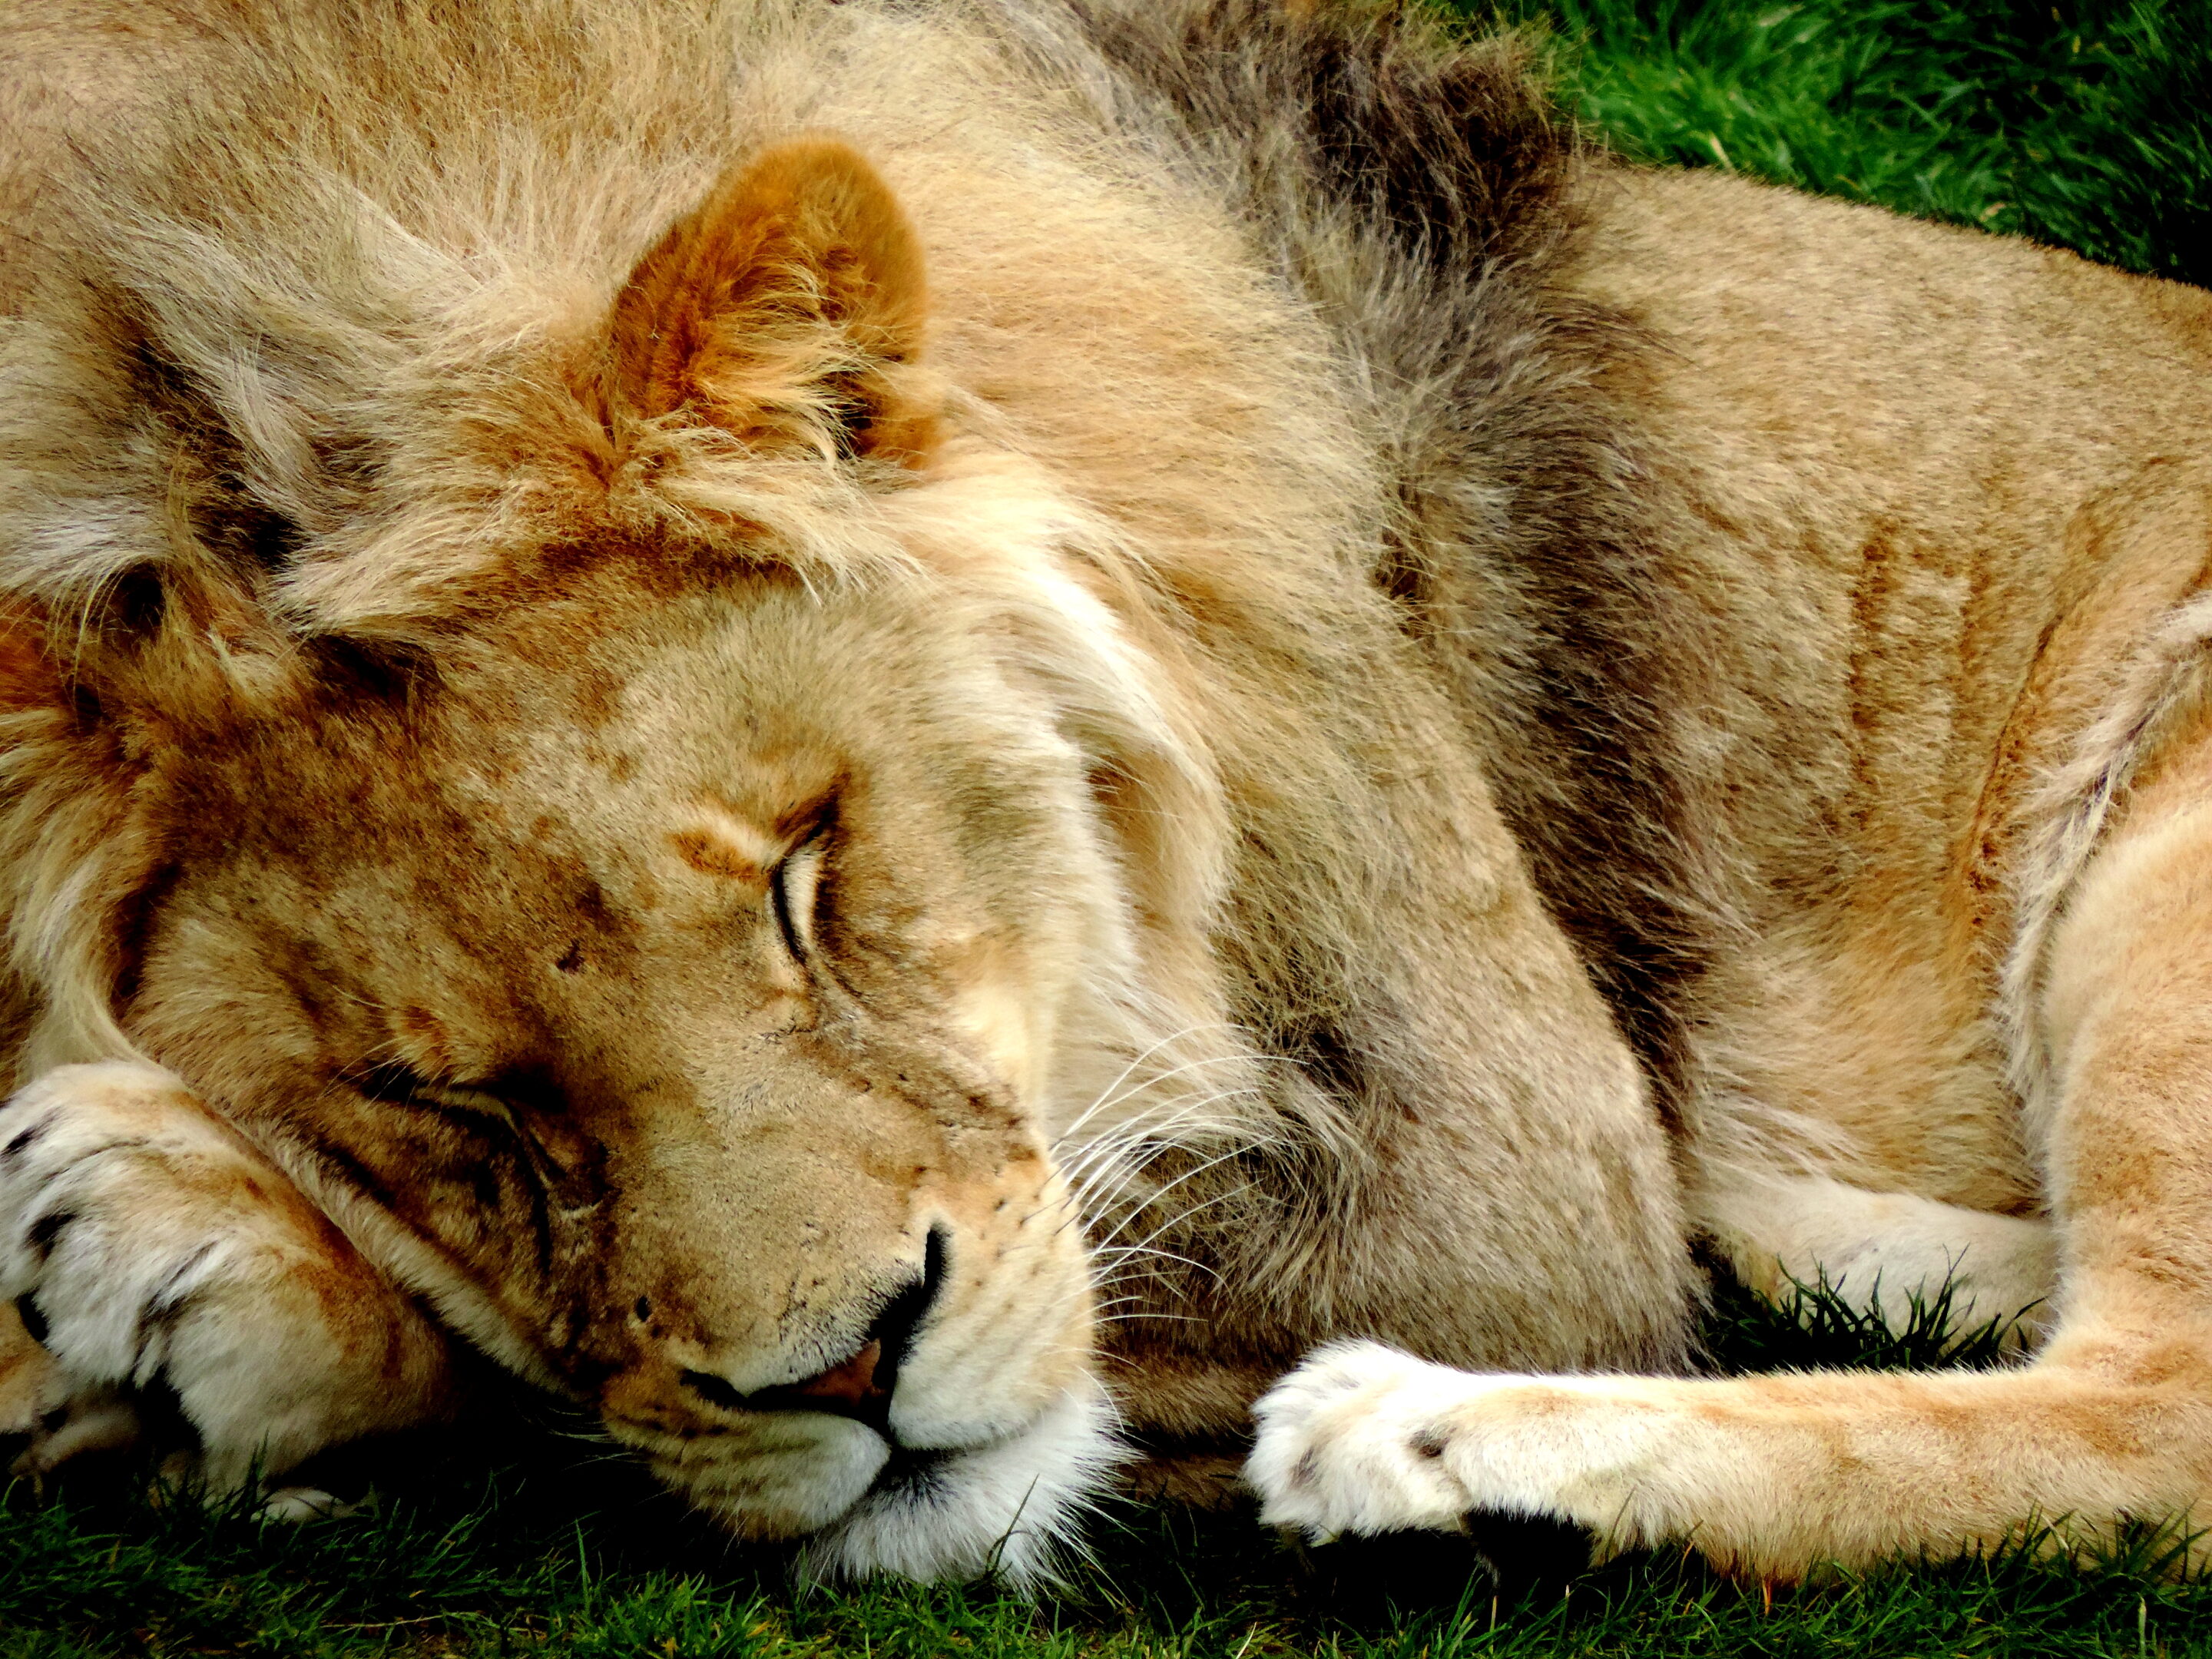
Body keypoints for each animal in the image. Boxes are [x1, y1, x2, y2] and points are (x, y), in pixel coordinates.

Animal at [0, 0, 2209, 1591]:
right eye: (443, 1097)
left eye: (810, 877)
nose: (851, 1374)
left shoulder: (1513, 1166)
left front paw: (177, 1235)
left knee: (2155, 1417)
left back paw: (1422, 1447)